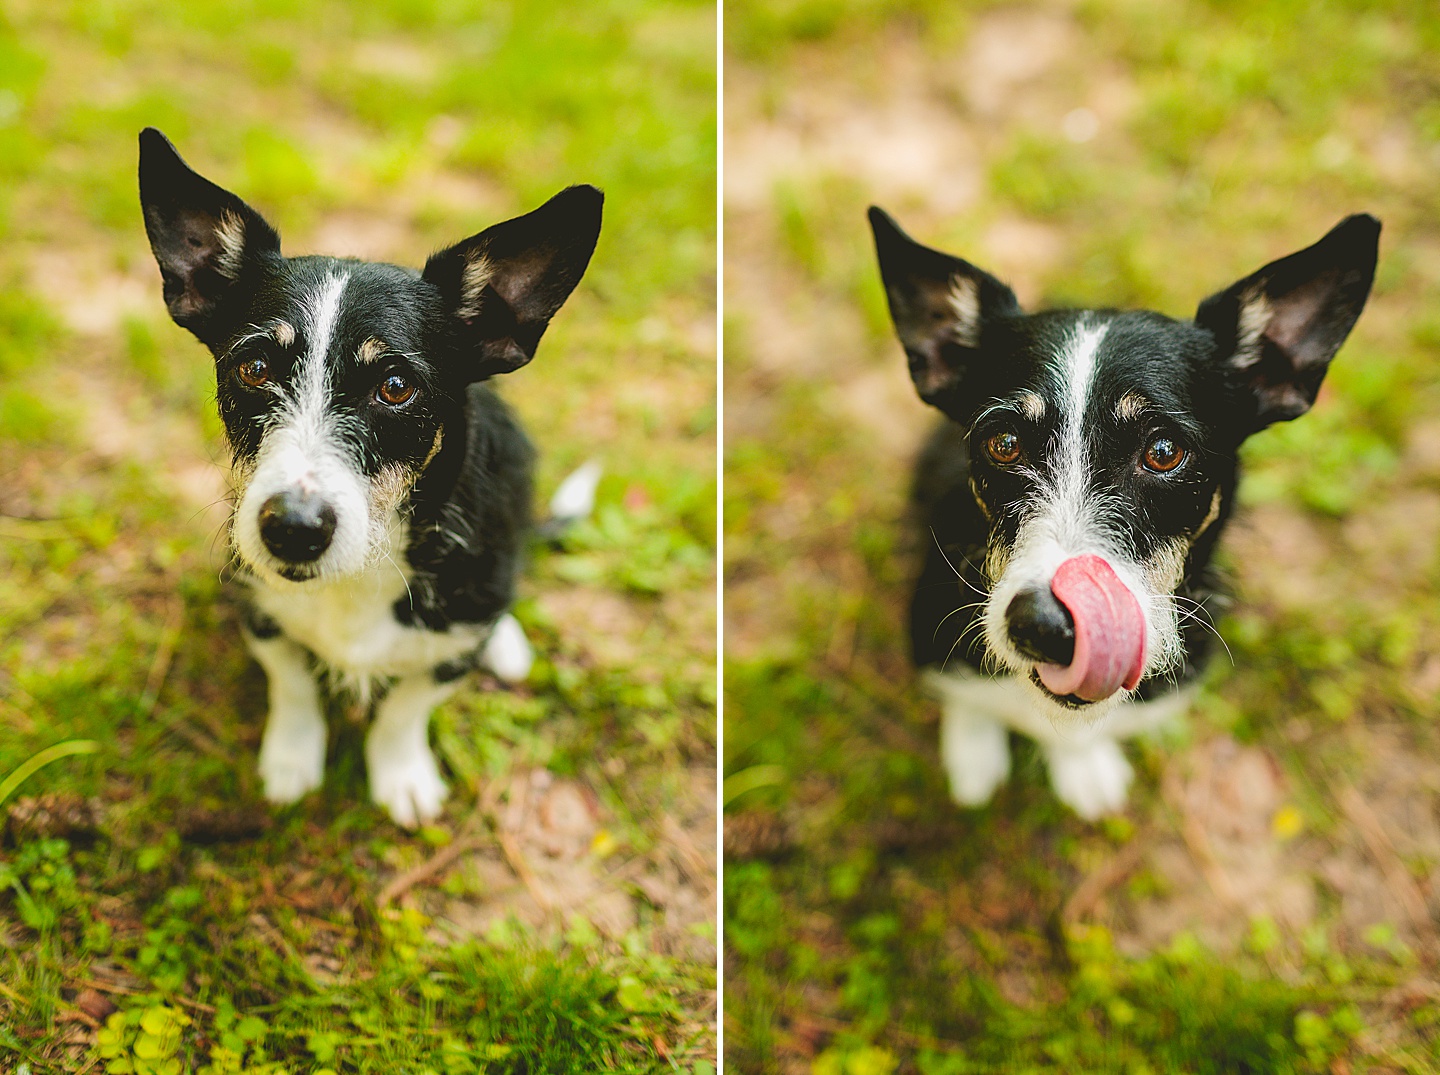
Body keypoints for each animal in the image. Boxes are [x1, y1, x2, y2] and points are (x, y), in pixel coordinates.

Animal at [138, 130, 601, 828]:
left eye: (396, 386)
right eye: (253, 368)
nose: (293, 529)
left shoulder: (449, 650)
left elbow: (406, 708)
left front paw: (402, 775)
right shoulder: (259, 610)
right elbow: (292, 684)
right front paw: (292, 760)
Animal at [869, 205, 1376, 817]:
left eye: (1163, 452)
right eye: (1003, 443)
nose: (1045, 626)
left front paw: (1082, 766)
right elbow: (968, 695)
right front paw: (974, 750)